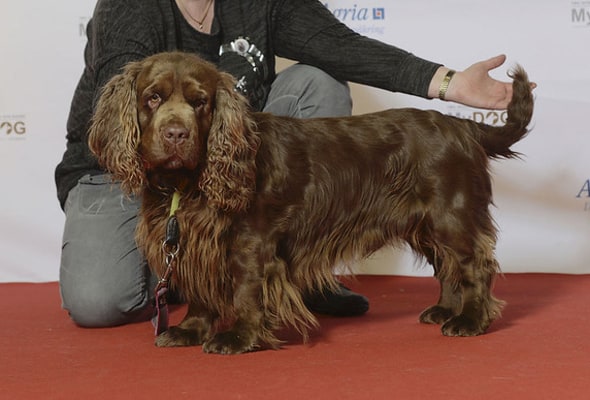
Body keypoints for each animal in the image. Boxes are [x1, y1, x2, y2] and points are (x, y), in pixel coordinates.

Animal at [88, 51, 536, 354]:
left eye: (200, 103)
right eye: (152, 98)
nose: (176, 135)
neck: (189, 181)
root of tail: (463, 126)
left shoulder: (251, 243)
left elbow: (245, 291)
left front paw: (238, 337)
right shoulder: (193, 240)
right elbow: (200, 288)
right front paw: (190, 329)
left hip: (451, 215)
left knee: (473, 266)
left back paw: (470, 320)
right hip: (426, 222)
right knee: (447, 267)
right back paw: (445, 310)